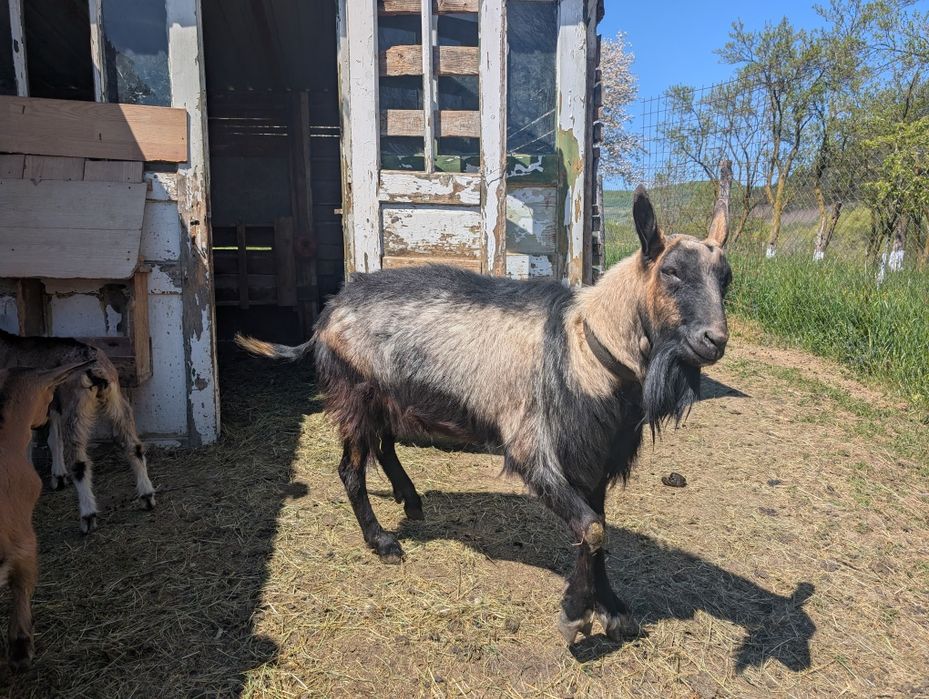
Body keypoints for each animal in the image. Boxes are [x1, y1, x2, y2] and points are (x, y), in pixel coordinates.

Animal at [0, 331, 155, 534]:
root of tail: (96, 369)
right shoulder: (52, 406)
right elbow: (54, 439)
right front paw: (58, 476)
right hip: (115, 400)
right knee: (134, 446)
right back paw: (147, 496)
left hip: (76, 408)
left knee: (79, 461)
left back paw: (88, 516)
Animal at [237, 187, 731, 643]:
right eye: (671, 272)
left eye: (725, 278)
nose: (714, 340)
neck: (584, 343)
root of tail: (328, 313)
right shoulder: (534, 446)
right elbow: (592, 529)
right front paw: (575, 614)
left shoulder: (595, 458)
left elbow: (598, 529)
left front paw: (612, 609)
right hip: (354, 394)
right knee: (350, 469)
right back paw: (383, 541)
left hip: (389, 397)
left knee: (385, 445)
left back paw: (410, 499)